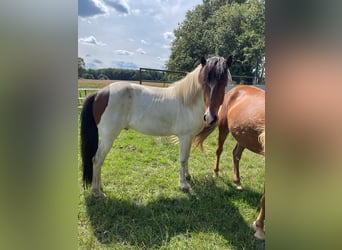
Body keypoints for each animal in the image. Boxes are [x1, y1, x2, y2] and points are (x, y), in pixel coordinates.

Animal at [81, 55, 232, 196]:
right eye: (205, 82)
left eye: (224, 82)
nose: (211, 117)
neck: (187, 101)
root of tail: (99, 93)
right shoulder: (185, 137)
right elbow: (183, 159)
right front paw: (184, 184)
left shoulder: (189, 138)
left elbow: (187, 156)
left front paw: (188, 176)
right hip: (108, 137)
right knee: (97, 159)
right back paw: (97, 192)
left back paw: (99, 187)